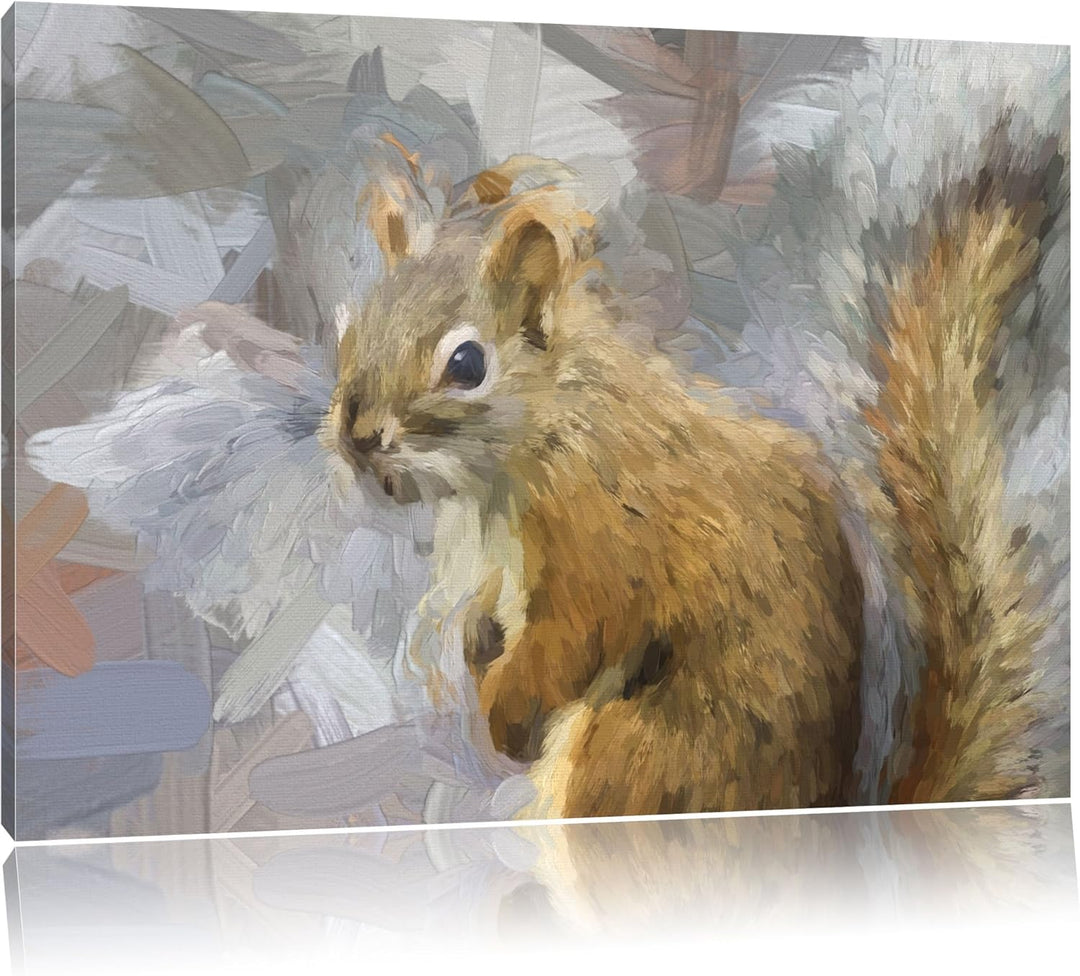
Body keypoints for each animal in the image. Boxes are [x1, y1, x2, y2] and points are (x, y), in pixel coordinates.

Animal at [323, 132, 1063, 819]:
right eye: (353, 327)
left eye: (467, 363)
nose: (357, 437)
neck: (548, 433)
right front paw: (476, 650)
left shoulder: (599, 538)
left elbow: (572, 637)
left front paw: (504, 714)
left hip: (632, 764)